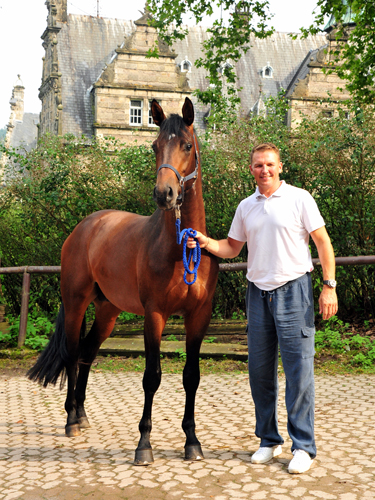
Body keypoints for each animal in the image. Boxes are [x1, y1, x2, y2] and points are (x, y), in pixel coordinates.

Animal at [26, 96, 219, 464]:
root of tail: (84, 227)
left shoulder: (198, 316)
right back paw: (71, 420)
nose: (164, 193)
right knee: (72, 353)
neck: (180, 246)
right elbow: (152, 378)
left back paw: (82, 415)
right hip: (76, 303)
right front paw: (144, 444)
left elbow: (192, 377)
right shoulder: (154, 315)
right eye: (155, 146)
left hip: (108, 311)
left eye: (187, 145)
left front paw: (192, 441)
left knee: (87, 351)